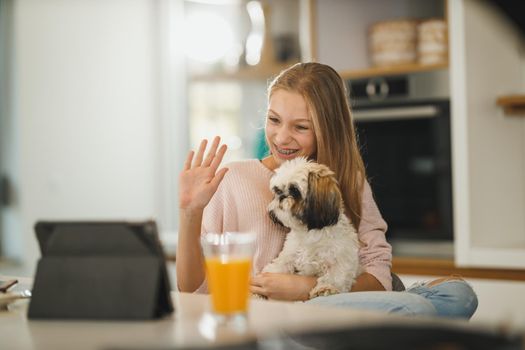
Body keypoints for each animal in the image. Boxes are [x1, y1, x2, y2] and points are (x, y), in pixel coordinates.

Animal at [264, 158, 358, 298]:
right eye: (277, 190)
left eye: (294, 190)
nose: (281, 197)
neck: (310, 232)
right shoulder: (290, 253)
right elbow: (281, 263)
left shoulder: (341, 259)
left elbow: (335, 276)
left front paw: (325, 288)